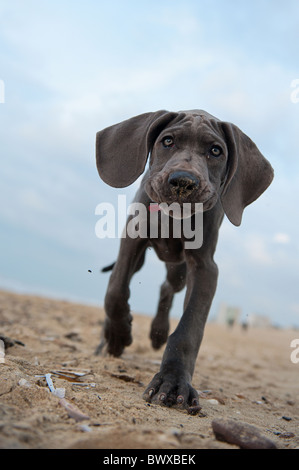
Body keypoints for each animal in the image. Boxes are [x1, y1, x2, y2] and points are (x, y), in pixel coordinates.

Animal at [95, 110, 274, 412]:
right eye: (167, 141)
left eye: (216, 151)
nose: (183, 182)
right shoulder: (133, 237)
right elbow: (115, 290)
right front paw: (118, 335)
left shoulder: (205, 268)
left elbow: (188, 329)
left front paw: (172, 382)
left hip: (178, 270)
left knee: (167, 287)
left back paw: (157, 333)